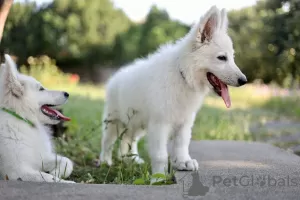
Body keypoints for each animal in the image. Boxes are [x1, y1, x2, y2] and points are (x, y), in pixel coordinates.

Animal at [0, 54, 74, 183]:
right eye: (41, 89)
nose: (67, 93)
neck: (22, 118)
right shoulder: (16, 171)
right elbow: (48, 178)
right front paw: (67, 182)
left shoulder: (41, 157)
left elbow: (66, 161)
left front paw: (56, 172)